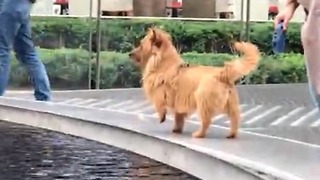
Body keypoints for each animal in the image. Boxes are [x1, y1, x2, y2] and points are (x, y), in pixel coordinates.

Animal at [129, 27, 262, 139]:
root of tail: (222, 74)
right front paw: (177, 129)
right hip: (231, 104)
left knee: (206, 121)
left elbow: (159, 105)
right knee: (235, 119)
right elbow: (178, 117)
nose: (129, 54)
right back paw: (232, 134)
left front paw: (162, 116)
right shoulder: (179, 100)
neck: (164, 64)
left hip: (203, 100)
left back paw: (199, 134)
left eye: (141, 46)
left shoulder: (162, 92)